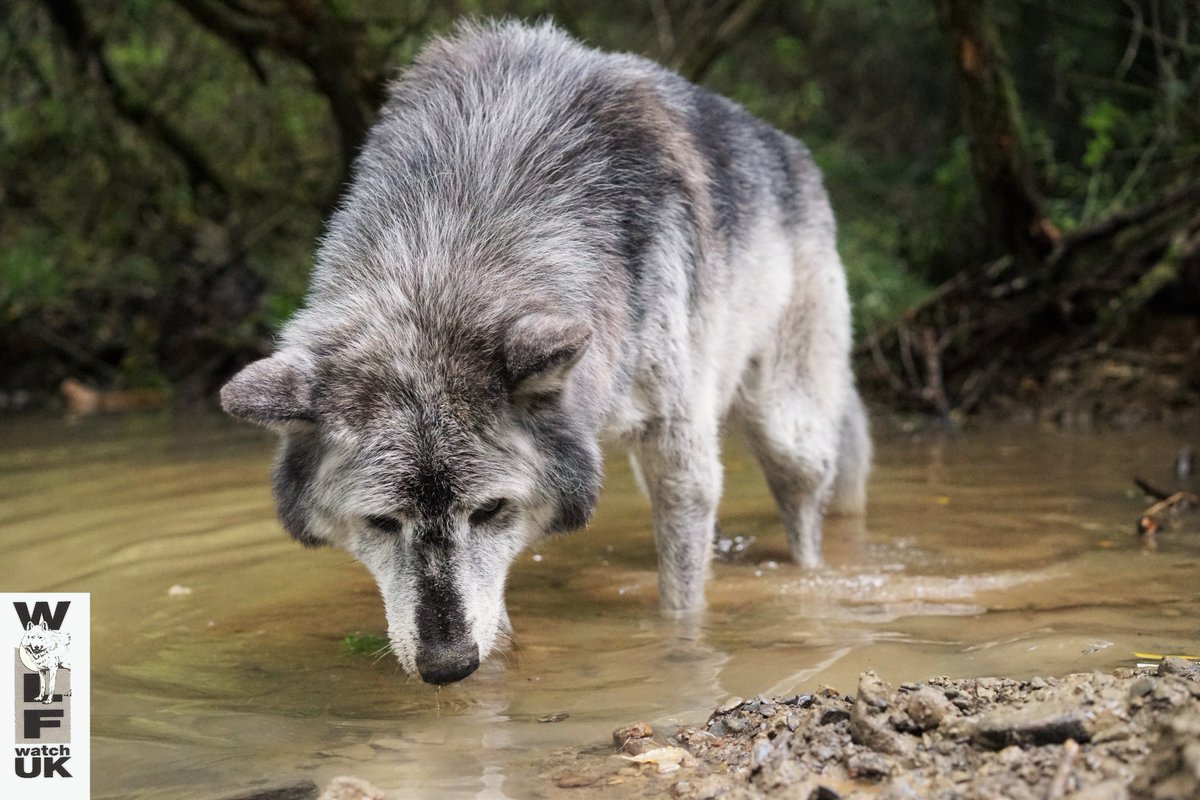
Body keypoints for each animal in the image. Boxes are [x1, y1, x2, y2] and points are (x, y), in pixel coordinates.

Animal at [222, 21, 870, 685]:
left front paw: (679, 654)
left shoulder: (677, 448)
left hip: (784, 429)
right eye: (380, 522)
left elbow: (681, 601)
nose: (447, 667)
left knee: (808, 503)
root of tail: (793, 149)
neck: (459, 219)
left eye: (490, 510)